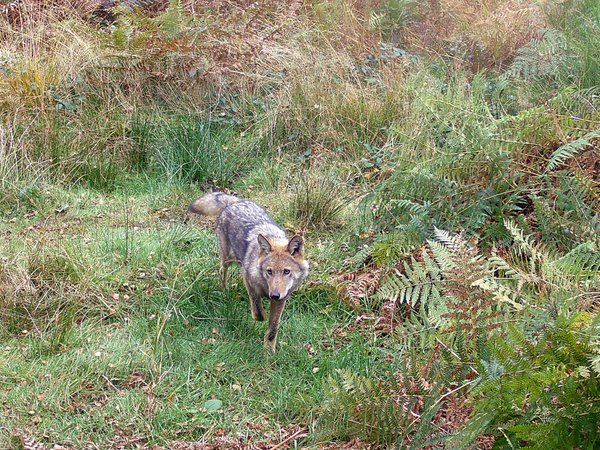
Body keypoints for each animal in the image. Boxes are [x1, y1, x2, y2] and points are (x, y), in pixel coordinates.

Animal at [189, 192, 310, 350]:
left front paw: (269, 351)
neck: (266, 287)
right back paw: (223, 290)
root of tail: (236, 201)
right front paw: (260, 317)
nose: (274, 295)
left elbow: (273, 328)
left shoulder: (281, 300)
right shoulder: (247, 279)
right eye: (269, 271)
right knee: (221, 271)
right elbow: (258, 311)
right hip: (229, 259)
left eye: (286, 271)